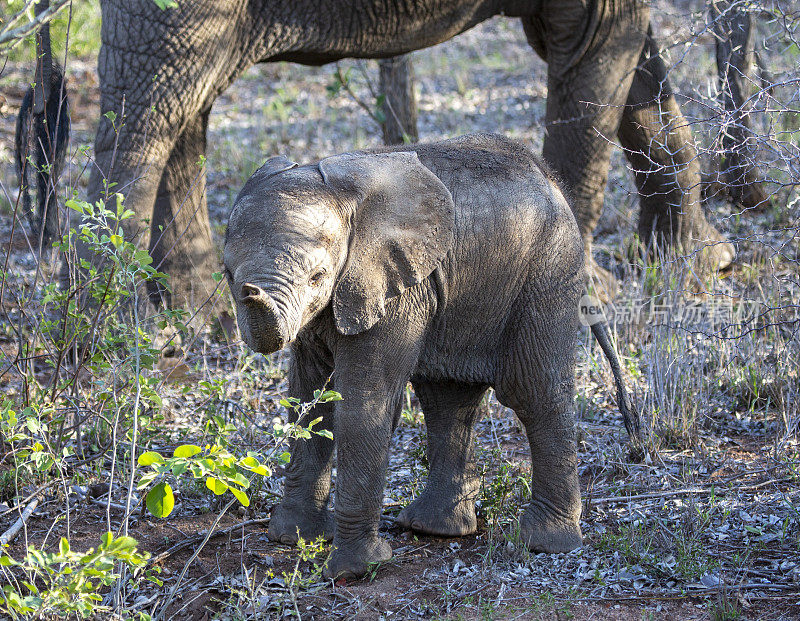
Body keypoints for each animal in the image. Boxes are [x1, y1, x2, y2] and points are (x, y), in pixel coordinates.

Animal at [31, 0, 736, 308]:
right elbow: (601, 53)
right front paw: (591, 294)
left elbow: (637, 69)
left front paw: (700, 265)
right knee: (148, 111)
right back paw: (114, 327)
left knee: (186, 105)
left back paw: (199, 316)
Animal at [222, 133, 636, 580]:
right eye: (227, 275)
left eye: (317, 277)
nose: (250, 292)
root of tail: (549, 175)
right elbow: (309, 400)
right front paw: (294, 538)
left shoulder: (394, 289)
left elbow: (364, 403)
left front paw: (356, 570)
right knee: (447, 399)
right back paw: (435, 528)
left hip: (548, 270)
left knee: (535, 393)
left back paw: (542, 543)